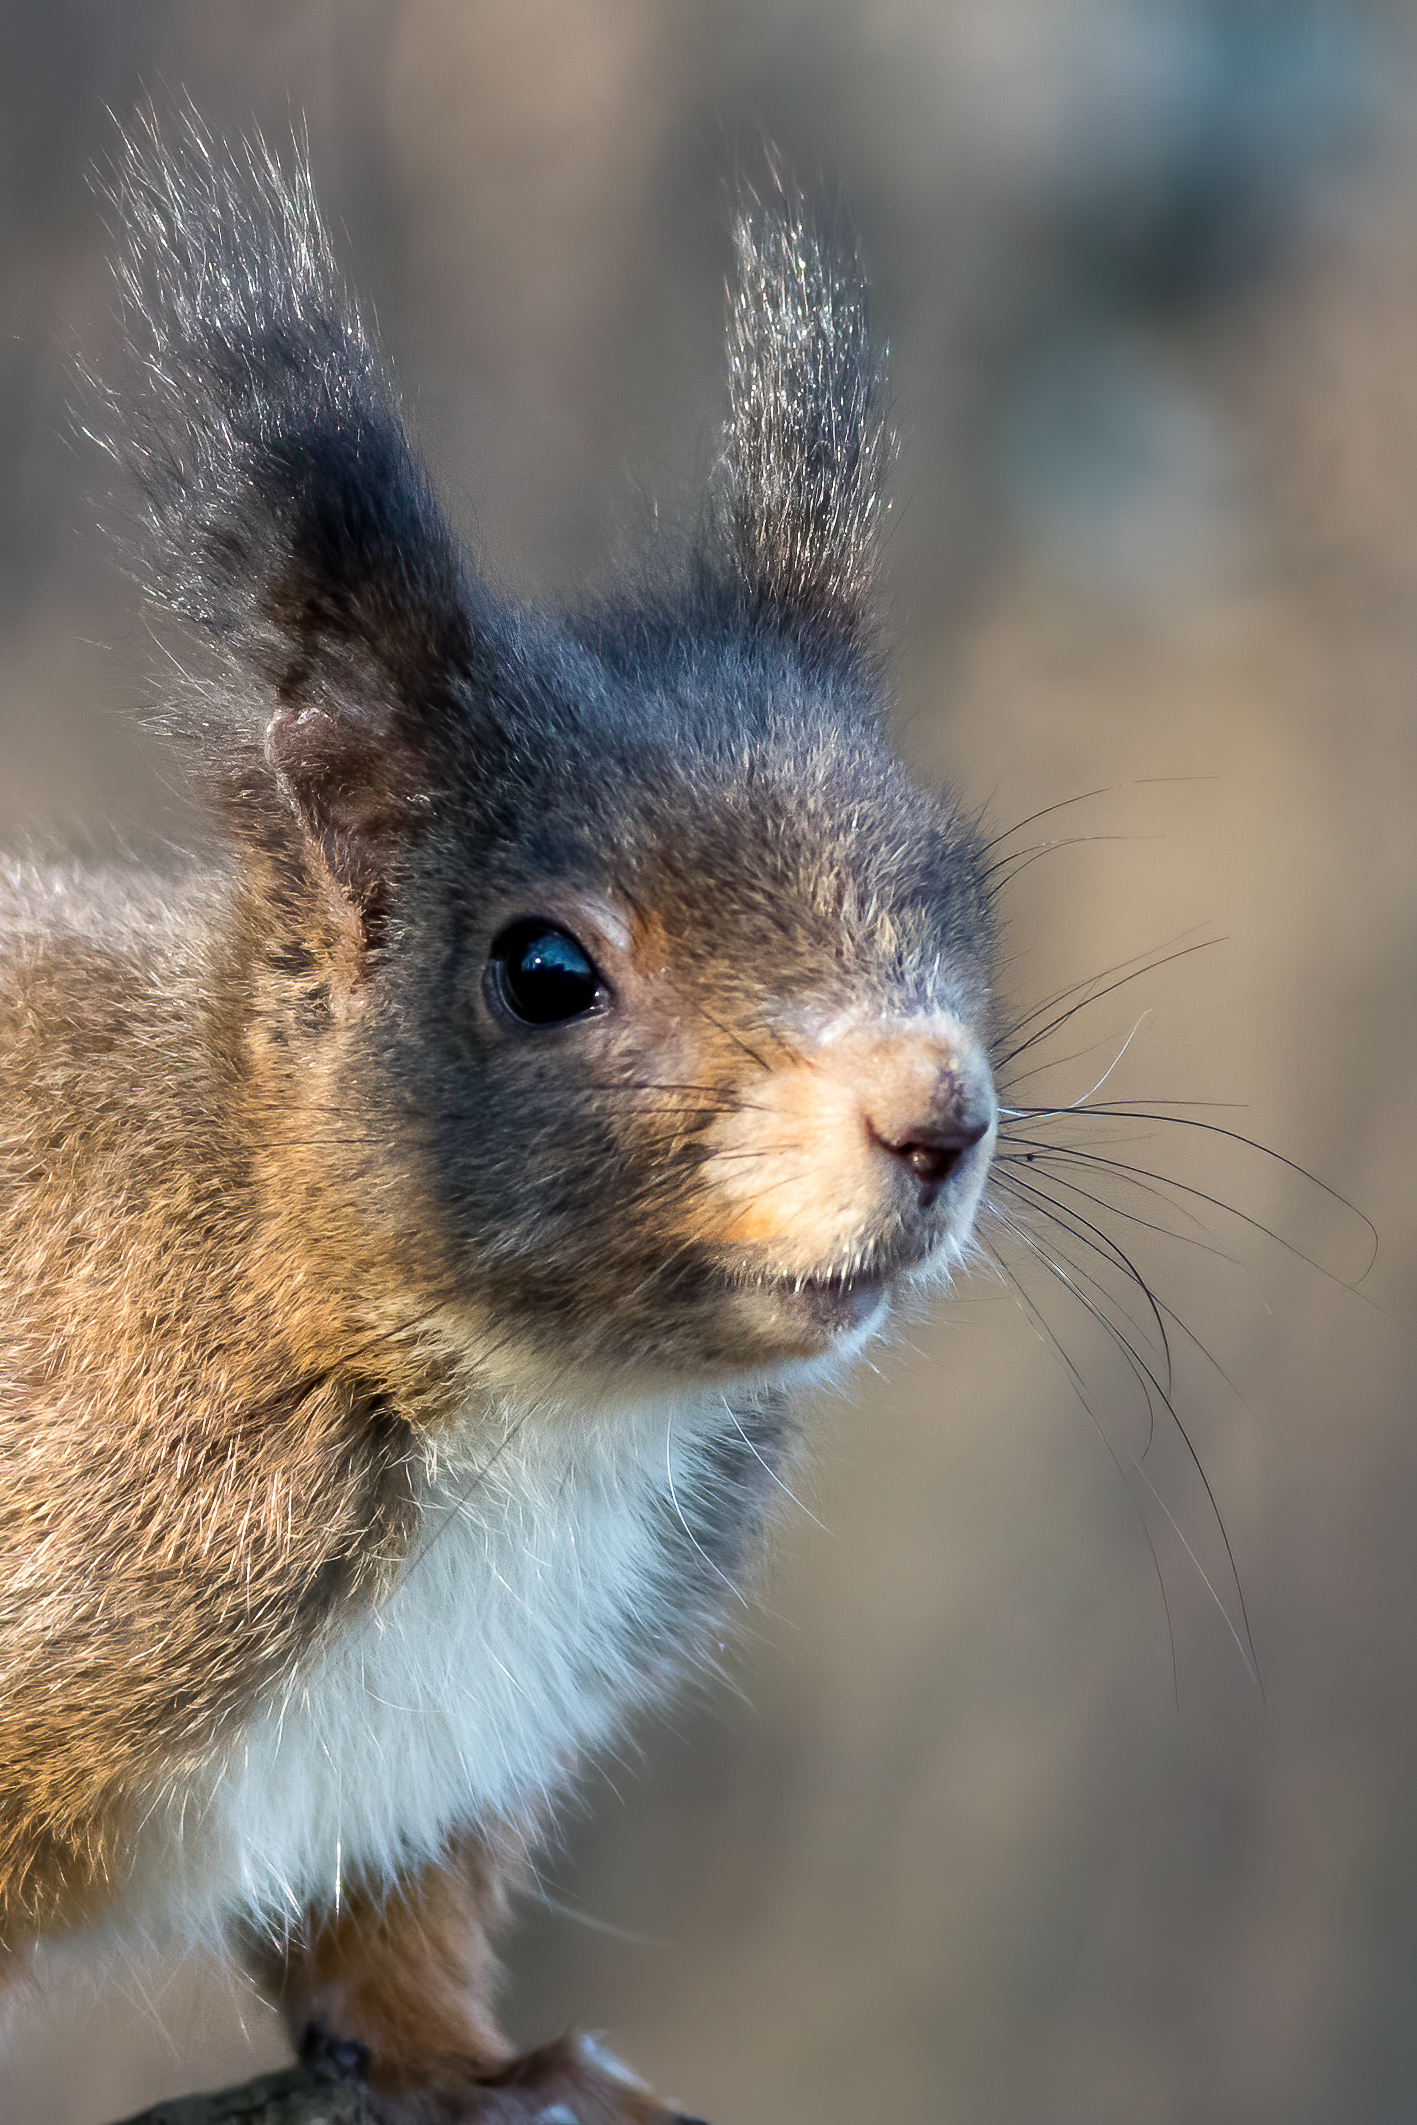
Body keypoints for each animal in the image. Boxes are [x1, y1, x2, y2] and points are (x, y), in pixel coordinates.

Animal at [0, 124, 998, 2123]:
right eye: (544, 971)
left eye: (959, 887)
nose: (939, 1117)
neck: (539, 1417)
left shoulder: (439, 1758)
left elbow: (388, 1947)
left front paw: (491, 2063)